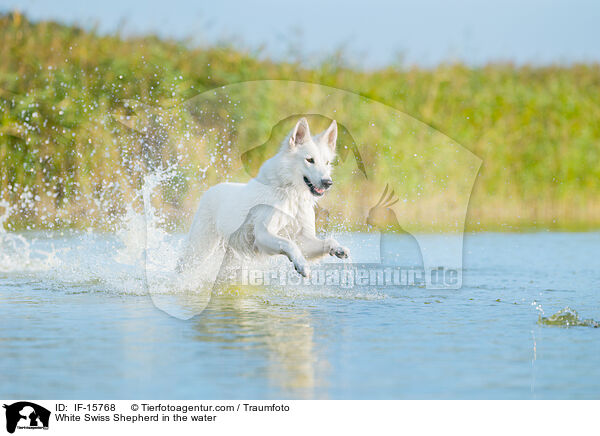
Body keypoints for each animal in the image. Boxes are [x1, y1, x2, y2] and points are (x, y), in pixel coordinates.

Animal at [177, 117, 346, 278]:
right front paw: (301, 265)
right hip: (199, 252)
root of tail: (211, 189)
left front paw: (338, 249)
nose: (328, 182)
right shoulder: (263, 234)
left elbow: (327, 241)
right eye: (310, 160)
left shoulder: (304, 240)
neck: (291, 194)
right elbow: (289, 244)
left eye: (327, 163)